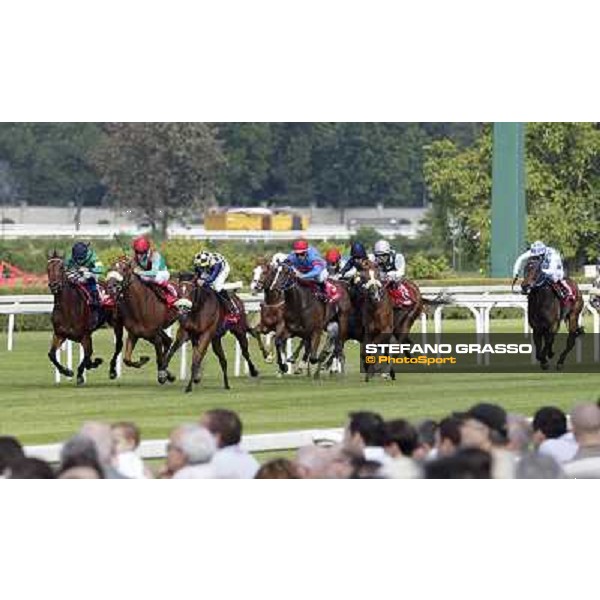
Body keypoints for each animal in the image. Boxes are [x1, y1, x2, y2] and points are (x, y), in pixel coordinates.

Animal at [47, 251, 123, 386]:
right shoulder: (59, 334)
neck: (68, 308)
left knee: (118, 345)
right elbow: (51, 355)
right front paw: (67, 371)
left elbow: (87, 355)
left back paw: (113, 371)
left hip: (116, 323)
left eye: (61, 268)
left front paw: (80, 375)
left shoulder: (85, 335)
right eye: (48, 268)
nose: (54, 285)